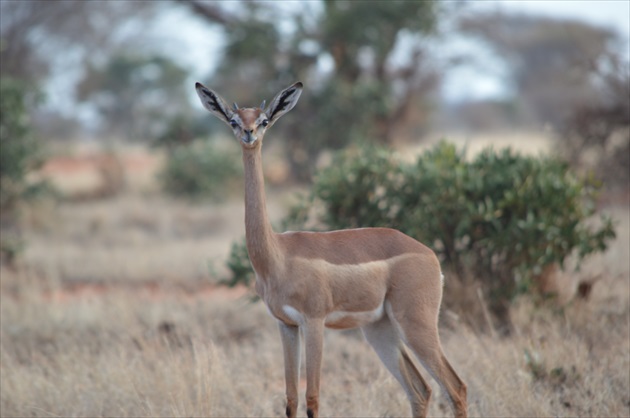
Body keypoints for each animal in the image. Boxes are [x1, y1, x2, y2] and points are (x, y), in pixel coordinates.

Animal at [198, 81, 470, 418]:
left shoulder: (314, 322)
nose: (249, 134)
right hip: (379, 329)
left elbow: (312, 397)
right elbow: (290, 399)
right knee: (421, 390)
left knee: (455, 387)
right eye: (234, 120)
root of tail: (429, 255)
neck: (276, 257)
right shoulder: (286, 325)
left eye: (264, 120)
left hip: (415, 324)